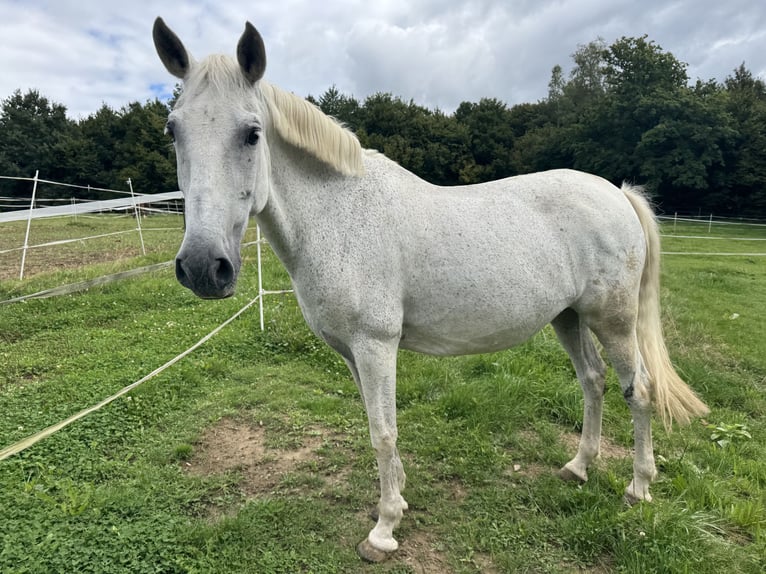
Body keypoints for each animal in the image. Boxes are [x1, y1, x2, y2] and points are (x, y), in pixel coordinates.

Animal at [152, 17, 709, 562]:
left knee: (639, 390)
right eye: (172, 131)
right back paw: (578, 467)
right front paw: (397, 499)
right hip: (567, 317)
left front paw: (382, 531)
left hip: (613, 319)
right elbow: (377, 426)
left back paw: (638, 488)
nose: (203, 267)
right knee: (593, 381)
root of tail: (616, 192)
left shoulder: (376, 346)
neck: (339, 214)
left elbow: (383, 433)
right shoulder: (352, 352)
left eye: (252, 134)